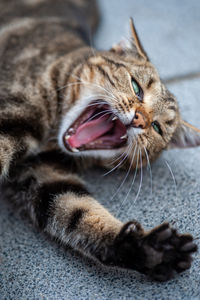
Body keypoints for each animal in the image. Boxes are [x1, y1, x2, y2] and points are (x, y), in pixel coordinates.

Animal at [0, 0, 199, 282]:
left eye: (157, 128)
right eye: (136, 87)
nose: (140, 119)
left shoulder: (45, 173)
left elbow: (76, 210)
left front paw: (146, 249)